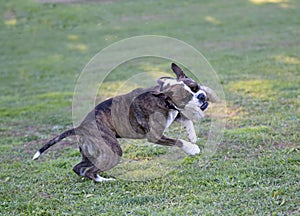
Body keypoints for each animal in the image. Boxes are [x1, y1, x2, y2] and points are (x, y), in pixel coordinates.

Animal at [33, 62, 218, 182]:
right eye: (186, 97)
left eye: (196, 87)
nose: (201, 96)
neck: (164, 98)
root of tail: (80, 127)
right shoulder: (155, 136)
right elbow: (178, 140)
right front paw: (191, 148)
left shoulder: (174, 113)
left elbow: (186, 119)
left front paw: (192, 136)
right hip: (112, 151)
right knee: (90, 171)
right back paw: (104, 181)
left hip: (93, 153)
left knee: (79, 168)